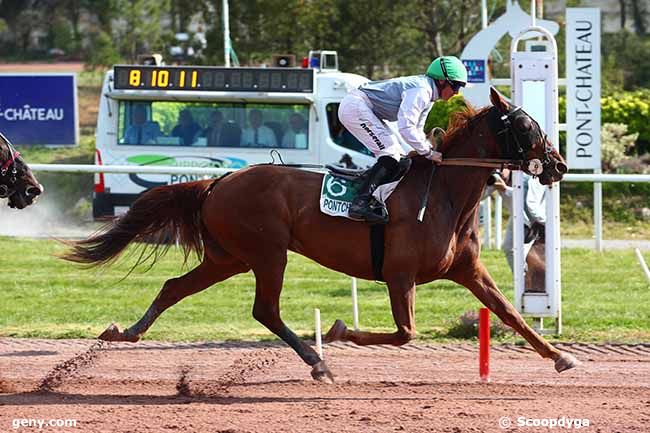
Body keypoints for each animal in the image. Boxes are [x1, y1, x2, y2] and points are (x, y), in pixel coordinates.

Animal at [63, 89, 576, 380]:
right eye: (526, 126)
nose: (558, 165)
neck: (445, 195)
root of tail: (218, 182)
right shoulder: (399, 274)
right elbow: (404, 333)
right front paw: (340, 329)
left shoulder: (468, 270)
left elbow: (511, 313)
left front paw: (560, 356)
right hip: (267, 253)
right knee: (265, 310)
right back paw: (318, 361)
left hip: (229, 257)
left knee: (175, 287)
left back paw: (125, 332)